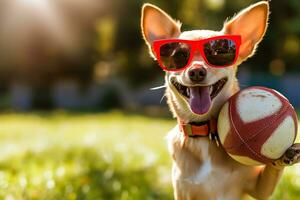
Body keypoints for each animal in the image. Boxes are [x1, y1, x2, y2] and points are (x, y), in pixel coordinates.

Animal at [141, 1, 300, 200]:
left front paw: (284, 155)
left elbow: (270, 171)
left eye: (218, 53)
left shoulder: (258, 189)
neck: (204, 132)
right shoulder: (183, 192)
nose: (196, 71)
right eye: (179, 56)